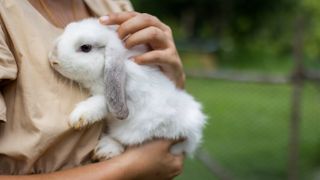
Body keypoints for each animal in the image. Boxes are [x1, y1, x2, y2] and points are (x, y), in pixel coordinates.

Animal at [48, 18, 206, 160]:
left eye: (85, 47)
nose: (53, 59)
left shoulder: (130, 97)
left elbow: (103, 101)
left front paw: (79, 117)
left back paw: (106, 149)